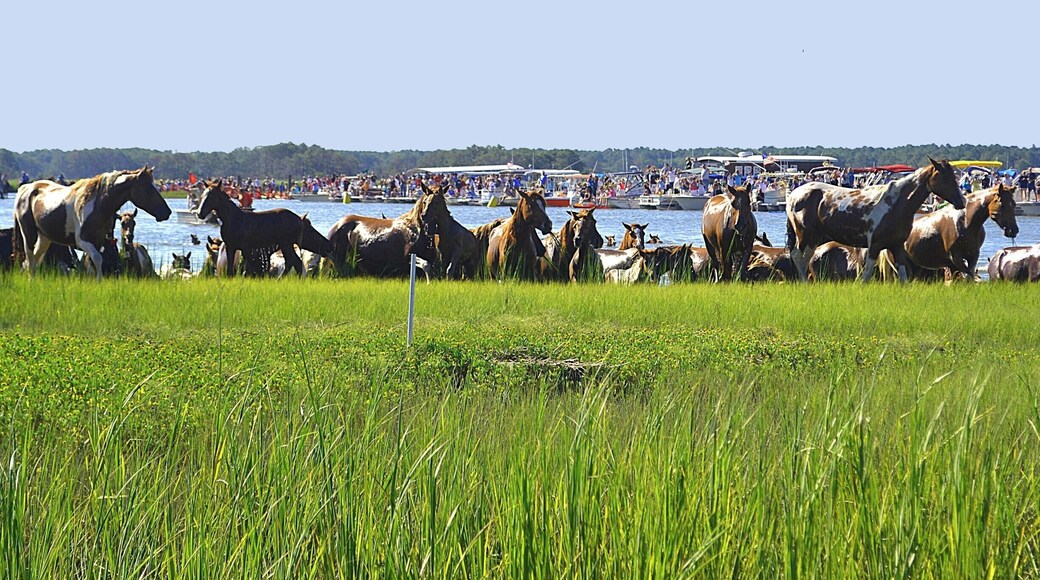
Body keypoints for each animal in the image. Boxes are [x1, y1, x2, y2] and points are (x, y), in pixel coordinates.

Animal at [13, 167, 171, 280]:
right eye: (148, 187)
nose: (167, 212)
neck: (97, 203)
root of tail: (25, 189)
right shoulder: (83, 241)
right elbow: (97, 259)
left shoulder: (99, 241)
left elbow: (97, 262)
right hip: (29, 235)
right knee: (30, 259)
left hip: (44, 238)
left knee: (32, 261)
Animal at [198, 180, 332, 277]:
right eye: (203, 195)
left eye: (211, 197)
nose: (200, 213)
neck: (232, 219)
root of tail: (299, 219)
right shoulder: (231, 246)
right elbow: (231, 269)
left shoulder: (246, 247)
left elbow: (248, 269)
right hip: (286, 245)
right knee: (294, 263)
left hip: (286, 244)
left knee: (294, 262)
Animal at [787, 158, 966, 282]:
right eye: (945, 178)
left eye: (954, 176)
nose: (962, 201)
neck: (894, 204)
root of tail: (793, 195)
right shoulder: (874, 246)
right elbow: (866, 276)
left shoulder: (897, 246)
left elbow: (903, 277)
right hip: (805, 235)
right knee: (797, 256)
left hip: (814, 238)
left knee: (804, 259)